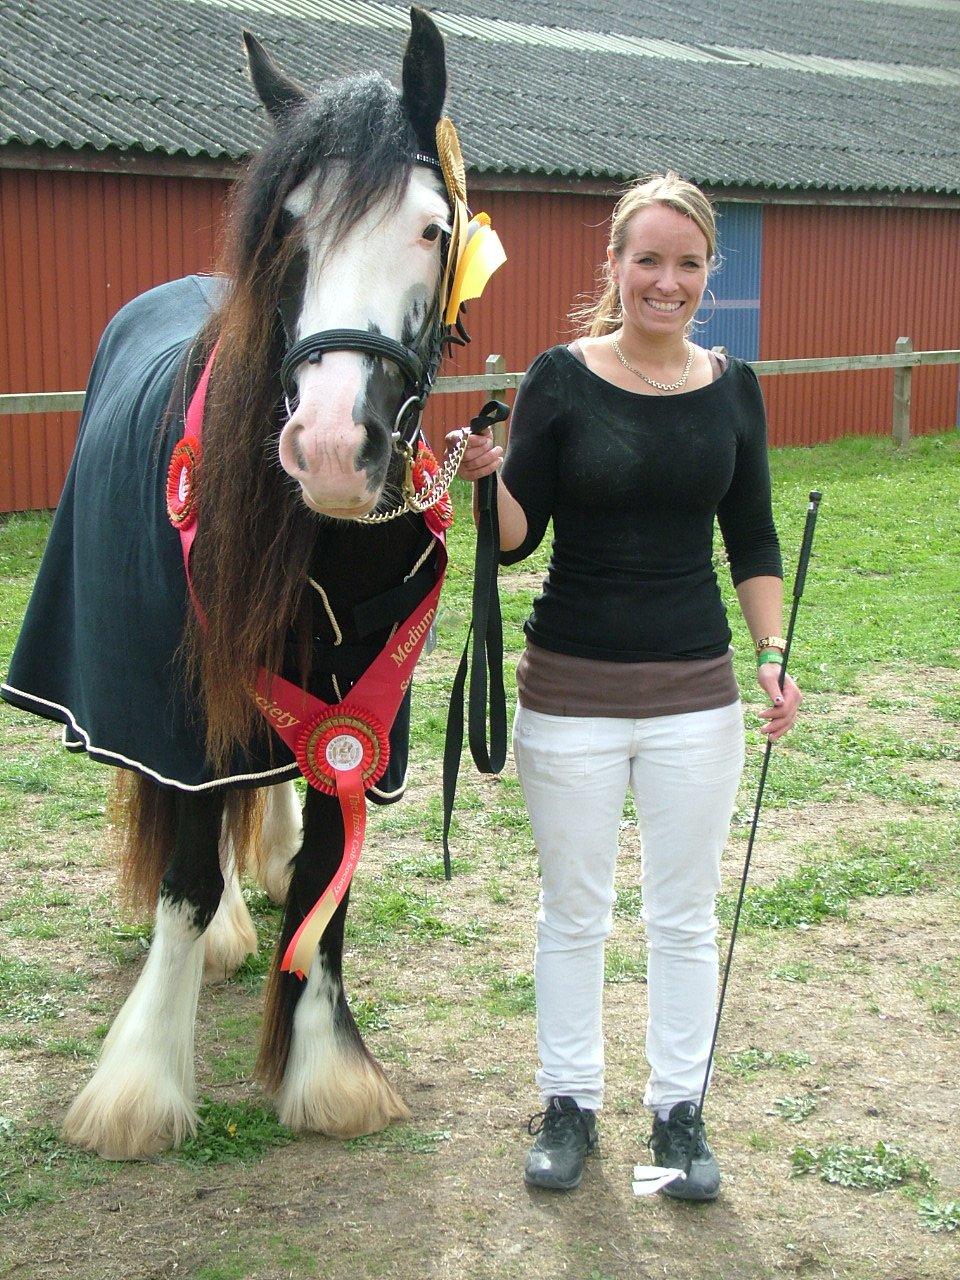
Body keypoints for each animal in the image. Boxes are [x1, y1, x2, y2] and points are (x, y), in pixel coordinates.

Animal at [0, 5, 481, 1162]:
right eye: (288, 228)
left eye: (431, 228)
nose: (331, 446)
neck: (328, 549)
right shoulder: (175, 716)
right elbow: (181, 874)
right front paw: (137, 1087)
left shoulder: (359, 722)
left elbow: (326, 884)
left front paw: (326, 1072)